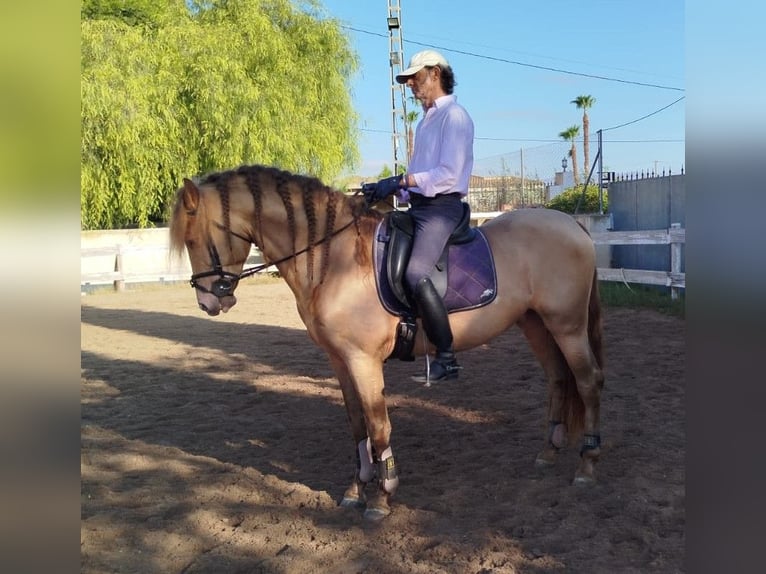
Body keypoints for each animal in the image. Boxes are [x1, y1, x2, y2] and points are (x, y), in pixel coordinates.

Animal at [169, 164, 605, 520]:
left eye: (193, 240)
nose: (209, 302)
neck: (334, 259)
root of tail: (571, 225)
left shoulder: (363, 361)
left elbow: (378, 425)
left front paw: (382, 496)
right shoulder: (339, 360)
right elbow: (356, 423)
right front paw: (355, 488)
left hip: (566, 325)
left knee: (588, 382)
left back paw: (587, 465)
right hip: (535, 323)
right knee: (559, 378)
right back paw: (549, 452)